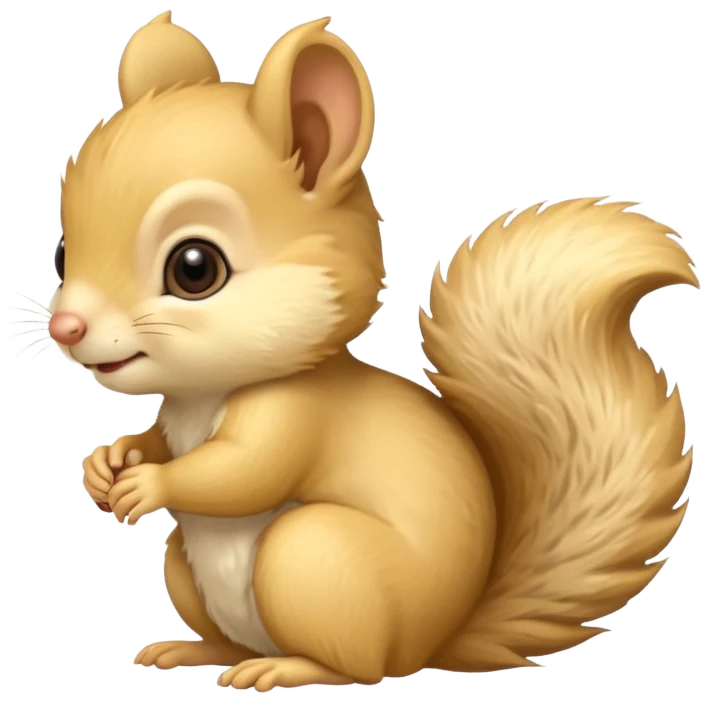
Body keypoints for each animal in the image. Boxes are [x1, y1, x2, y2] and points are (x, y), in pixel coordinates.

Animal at [55, 11, 697, 691]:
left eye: (195, 269)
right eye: (62, 255)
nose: (67, 326)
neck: (205, 393)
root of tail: (434, 640)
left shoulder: (298, 414)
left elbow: (243, 471)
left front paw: (147, 483)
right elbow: (155, 438)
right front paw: (108, 463)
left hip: (314, 558)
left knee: (359, 669)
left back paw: (286, 666)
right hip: (189, 566)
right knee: (234, 636)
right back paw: (198, 649)